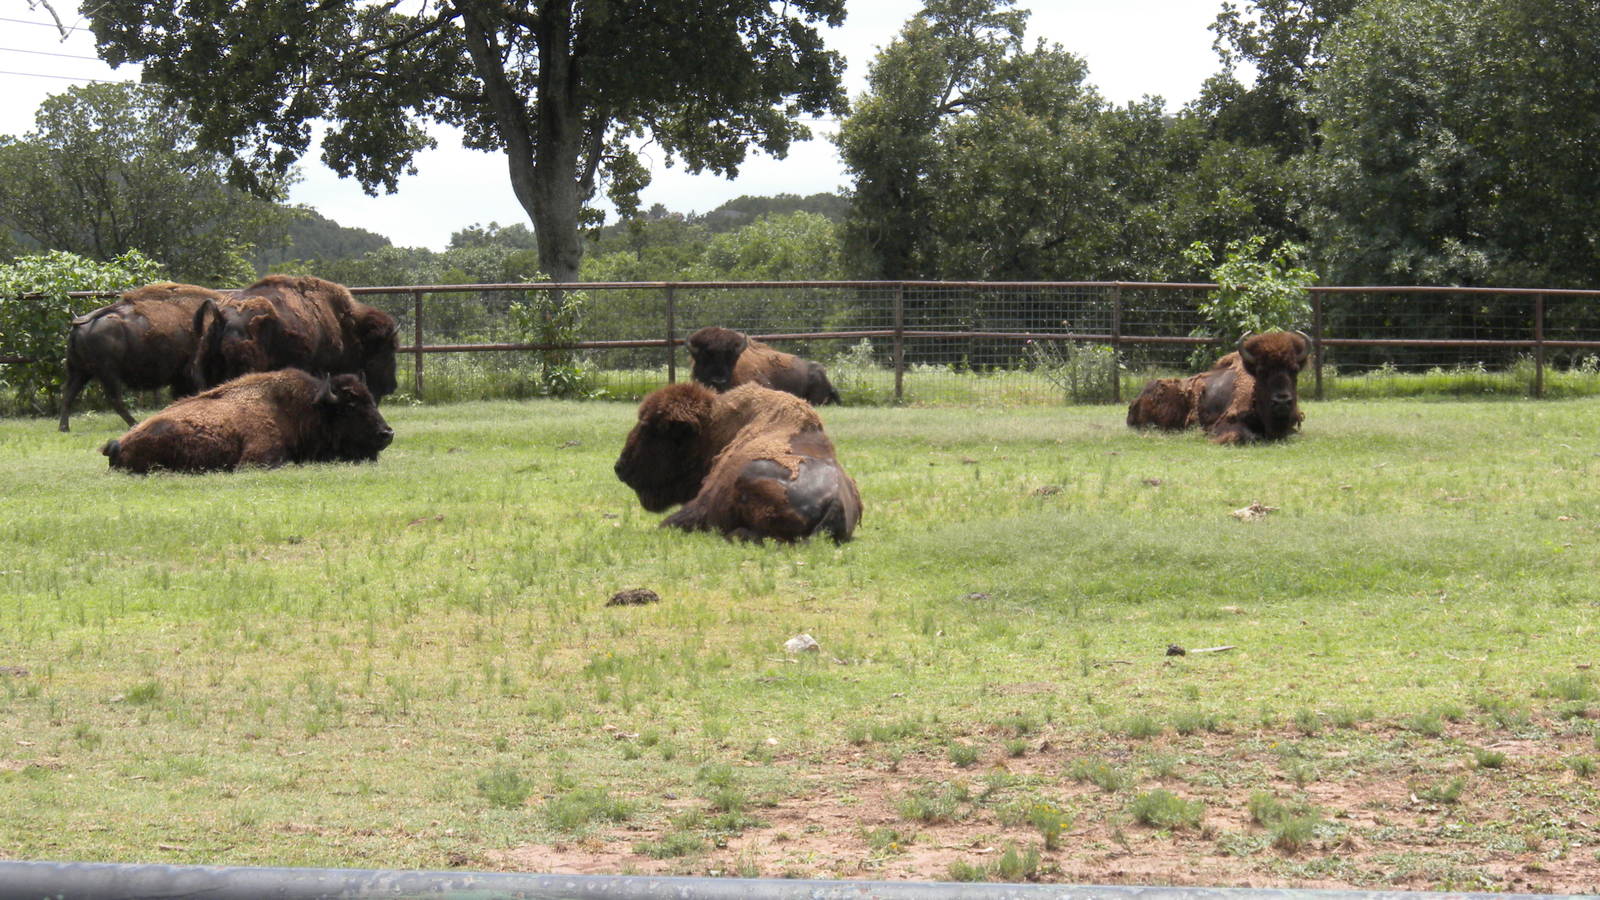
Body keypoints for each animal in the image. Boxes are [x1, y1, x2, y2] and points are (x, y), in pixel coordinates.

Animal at [58, 282, 230, 432]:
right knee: (114, 399)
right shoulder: (193, 369)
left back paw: (64, 428)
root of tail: (79, 326)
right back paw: (135, 424)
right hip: (108, 373)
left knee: (68, 395)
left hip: (79, 371)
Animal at [1126, 331, 1312, 444]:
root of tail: (1138, 398)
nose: (1282, 402)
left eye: (1294, 370)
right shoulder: (1224, 425)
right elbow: (1247, 436)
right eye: (1261, 372)